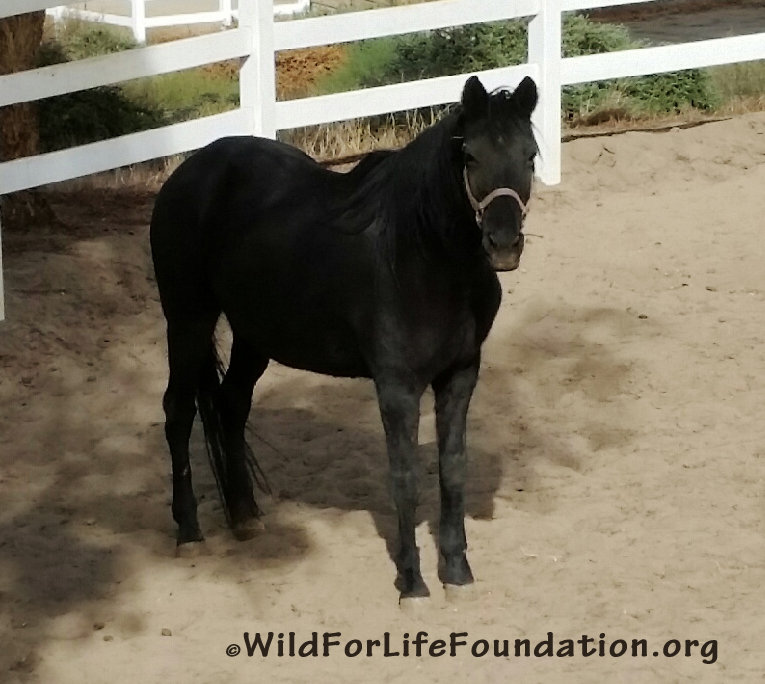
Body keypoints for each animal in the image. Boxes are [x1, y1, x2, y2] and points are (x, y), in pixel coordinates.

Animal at [150, 75, 538, 599]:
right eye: (471, 156)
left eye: (531, 155)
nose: (503, 245)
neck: (420, 257)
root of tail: (190, 172)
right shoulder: (397, 388)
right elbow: (404, 476)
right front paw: (412, 582)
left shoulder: (460, 376)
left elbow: (453, 468)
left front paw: (457, 571)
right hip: (188, 319)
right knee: (178, 412)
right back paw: (189, 531)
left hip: (255, 334)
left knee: (231, 406)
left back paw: (246, 518)